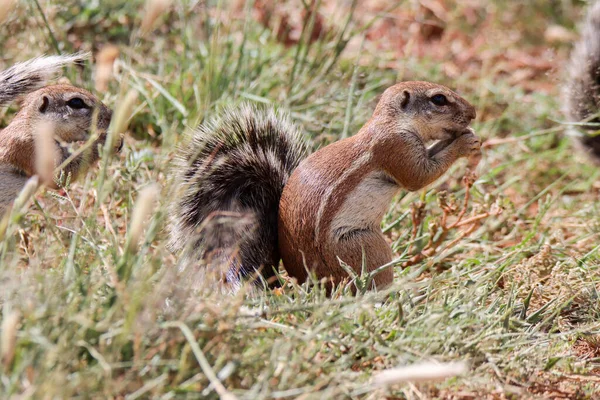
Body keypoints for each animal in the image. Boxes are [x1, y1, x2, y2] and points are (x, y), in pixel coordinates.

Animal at [0, 57, 119, 212]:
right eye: (76, 102)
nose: (112, 116)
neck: (32, 127)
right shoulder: (31, 147)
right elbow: (59, 175)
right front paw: (108, 140)